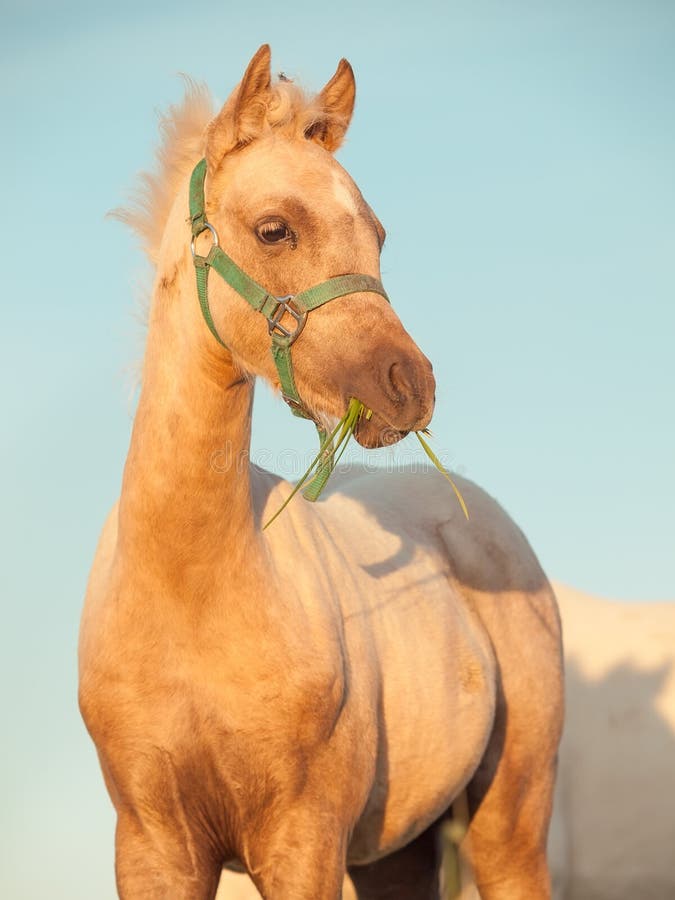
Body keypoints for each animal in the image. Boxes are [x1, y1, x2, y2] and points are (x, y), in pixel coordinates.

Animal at [80, 47, 564, 900]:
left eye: (377, 234)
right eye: (275, 229)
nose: (408, 384)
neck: (189, 591)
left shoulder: (301, 842)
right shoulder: (151, 850)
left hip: (511, 822)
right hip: (398, 852)